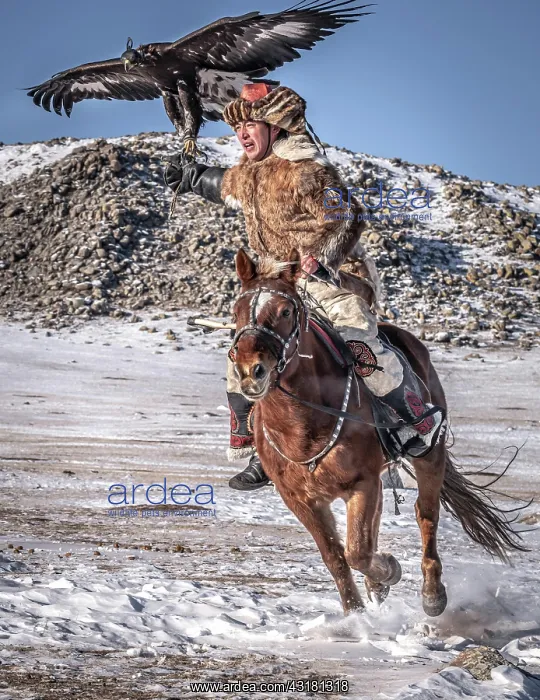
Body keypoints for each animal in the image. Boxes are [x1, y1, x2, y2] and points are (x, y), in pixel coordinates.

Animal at [230, 248, 526, 616]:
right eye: (237, 311)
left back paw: (432, 594)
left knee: (425, 514)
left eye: (285, 311)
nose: (249, 371)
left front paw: (390, 571)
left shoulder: (363, 483)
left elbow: (357, 551)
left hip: (430, 454)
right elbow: (336, 556)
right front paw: (356, 615)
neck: (303, 425)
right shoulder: (300, 499)